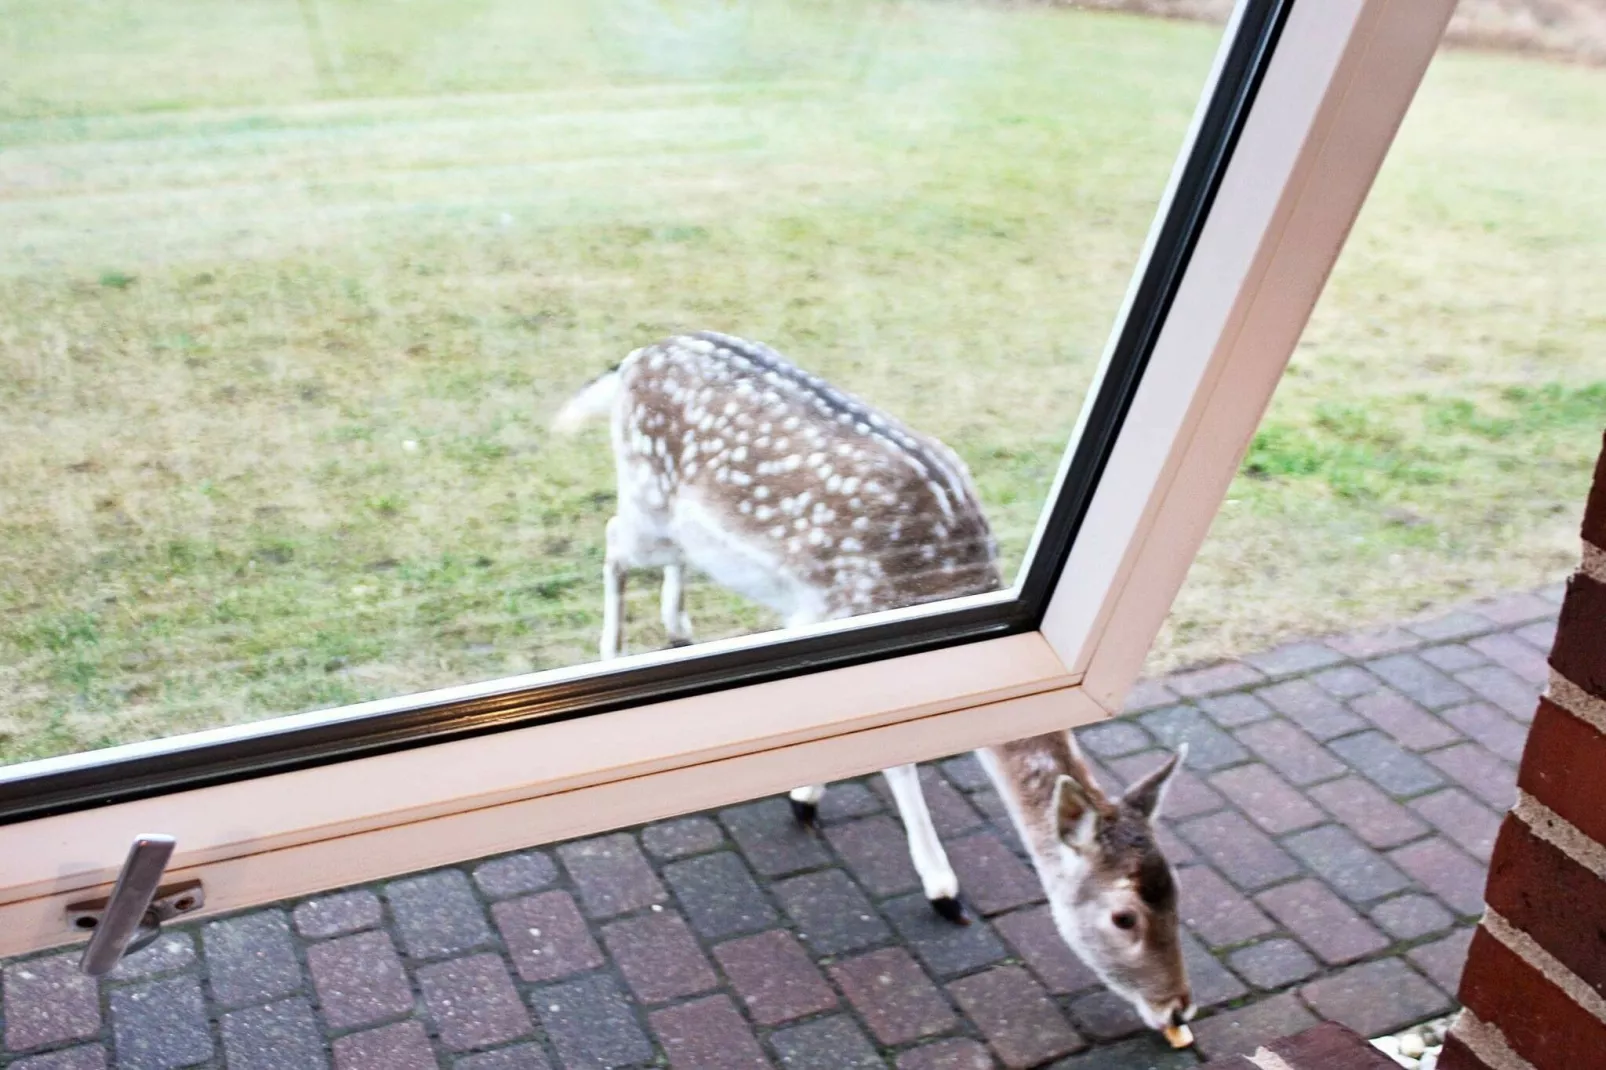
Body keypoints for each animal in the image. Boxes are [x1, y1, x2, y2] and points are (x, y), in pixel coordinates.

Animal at [552, 330, 1194, 1034]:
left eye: (1177, 890)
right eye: (1123, 916)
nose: (1178, 1005)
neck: (934, 579)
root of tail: (639, 356)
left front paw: (809, 793)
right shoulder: (828, 613)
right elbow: (894, 753)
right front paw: (940, 887)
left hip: (678, 525)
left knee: (665, 558)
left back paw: (678, 625)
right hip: (646, 498)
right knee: (613, 539)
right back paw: (611, 651)